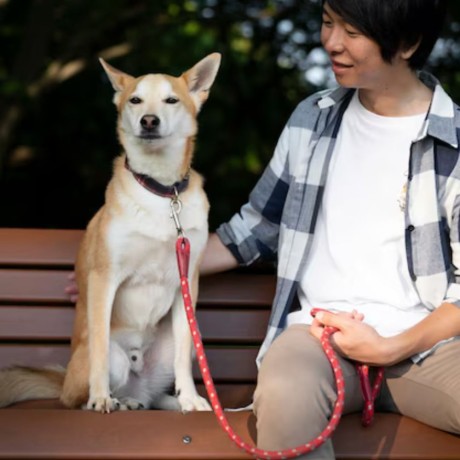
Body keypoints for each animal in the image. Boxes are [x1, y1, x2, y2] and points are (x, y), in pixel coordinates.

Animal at [0, 53, 221, 414]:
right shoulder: (105, 278)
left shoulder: (186, 284)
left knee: (158, 388)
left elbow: (181, 358)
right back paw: (115, 400)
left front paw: (190, 398)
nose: (149, 121)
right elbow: (101, 348)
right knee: (82, 392)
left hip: (189, 338)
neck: (162, 191)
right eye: (135, 100)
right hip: (101, 370)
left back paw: (160, 402)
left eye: (171, 100)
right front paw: (100, 397)